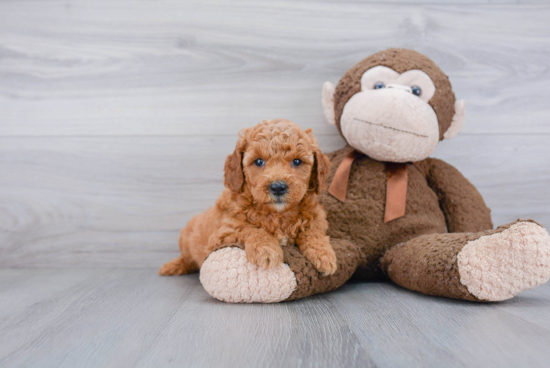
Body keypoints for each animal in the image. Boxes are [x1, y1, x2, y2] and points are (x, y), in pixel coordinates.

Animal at [160, 118, 338, 276]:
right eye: (258, 161)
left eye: (297, 161)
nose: (278, 187)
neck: (278, 215)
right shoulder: (222, 234)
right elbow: (249, 228)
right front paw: (266, 250)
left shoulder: (317, 218)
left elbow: (313, 231)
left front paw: (324, 255)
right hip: (186, 239)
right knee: (187, 259)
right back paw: (172, 266)